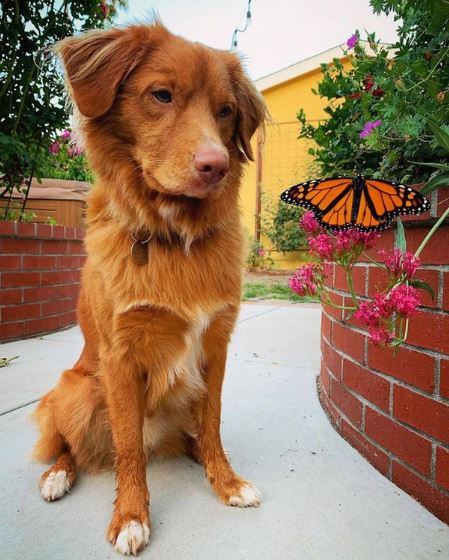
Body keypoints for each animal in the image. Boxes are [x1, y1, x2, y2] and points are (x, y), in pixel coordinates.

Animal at [34, 20, 266, 556]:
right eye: (161, 95)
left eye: (226, 111)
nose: (217, 165)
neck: (172, 236)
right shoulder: (120, 356)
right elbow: (127, 450)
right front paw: (131, 516)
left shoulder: (215, 347)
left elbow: (213, 423)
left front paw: (226, 481)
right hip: (76, 389)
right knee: (74, 447)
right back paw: (57, 476)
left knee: (192, 435)